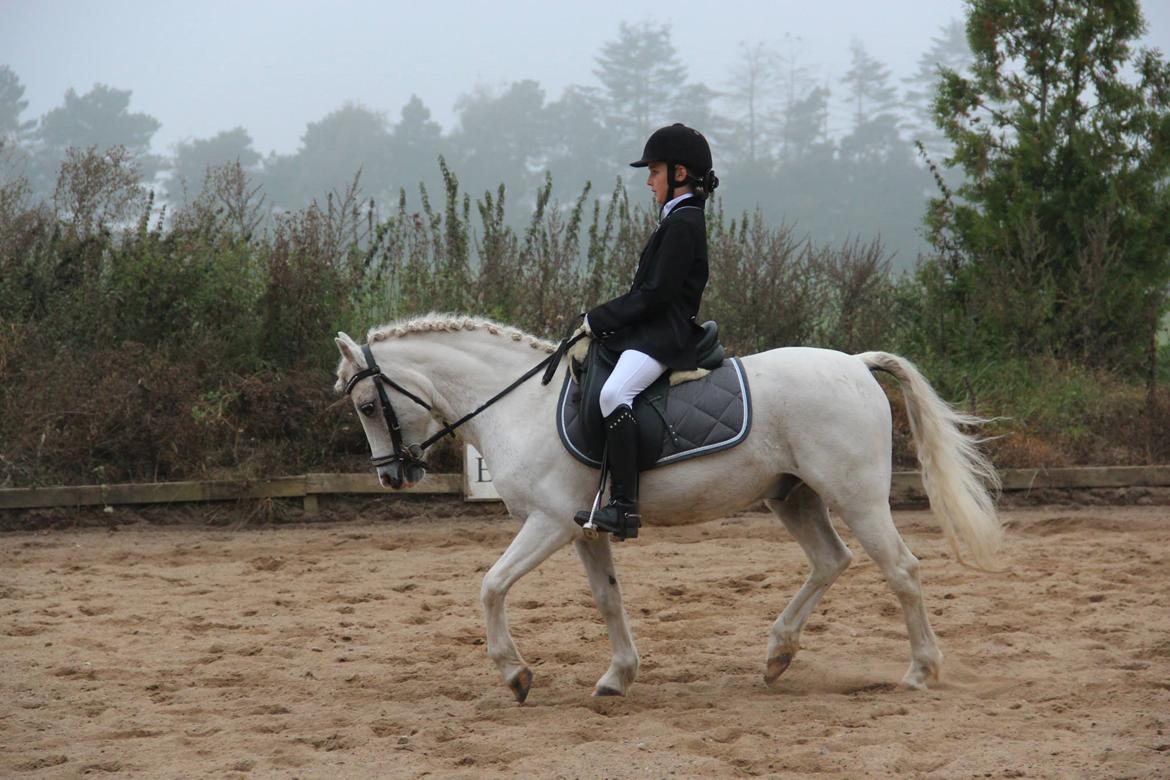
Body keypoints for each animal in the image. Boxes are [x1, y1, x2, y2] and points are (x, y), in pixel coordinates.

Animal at [333, 313, 1002, 703]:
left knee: (902, 570)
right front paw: (617, 676)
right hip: (794, 495)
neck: (520, 404)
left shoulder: (547, 523)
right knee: (830, 561)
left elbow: (491, 586)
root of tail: (856, 365)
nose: (392, 475)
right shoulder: (584, 528)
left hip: (854, 495)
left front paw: (515, 675)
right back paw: (778, 656)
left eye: (366, 405)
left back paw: (919, 672)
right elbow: (607, 599)